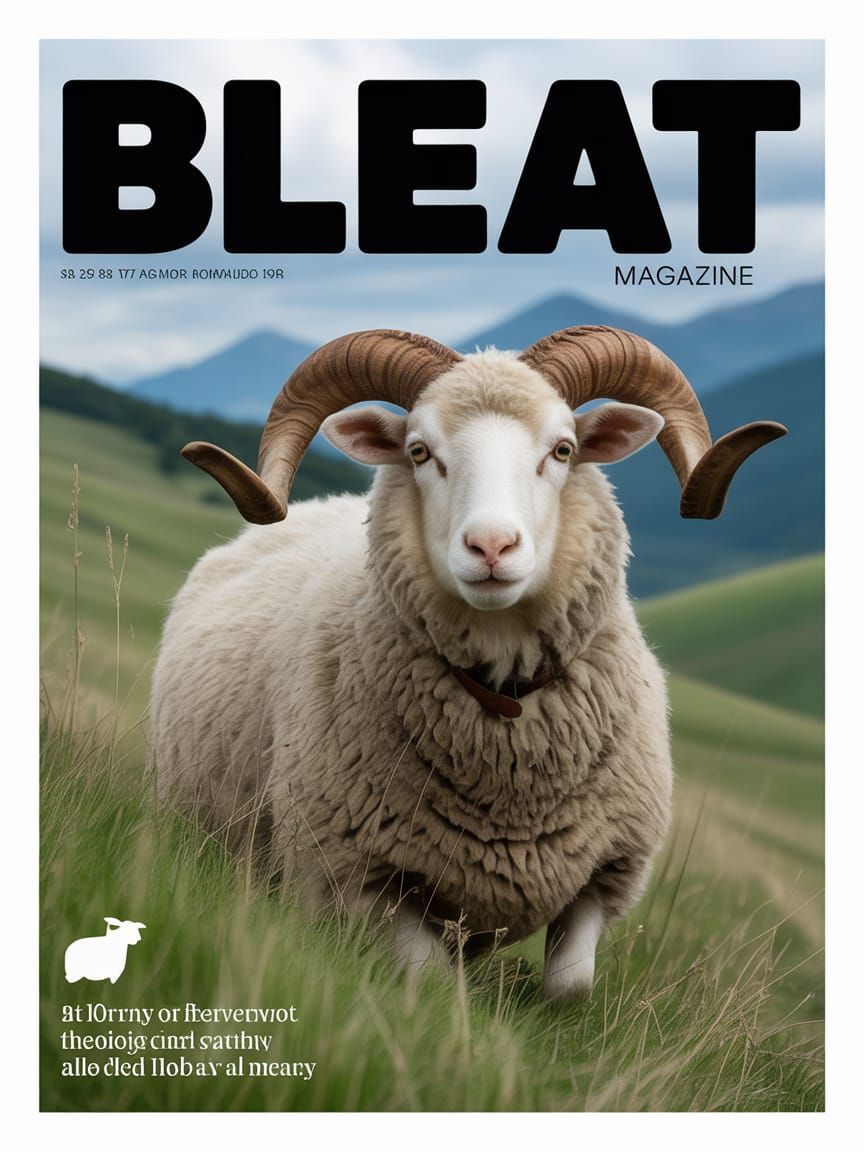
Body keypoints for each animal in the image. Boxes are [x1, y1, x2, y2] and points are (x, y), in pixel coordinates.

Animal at [151, 326, 785, 1000]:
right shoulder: (362, 881)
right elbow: (429, 981)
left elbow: (571, 987)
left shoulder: (606, 873)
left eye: (563, 449)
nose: (492, 546)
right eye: (419, 451)